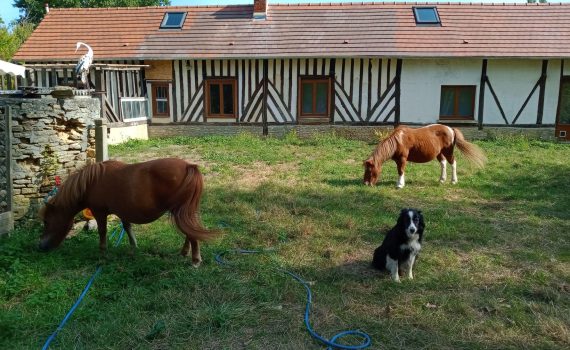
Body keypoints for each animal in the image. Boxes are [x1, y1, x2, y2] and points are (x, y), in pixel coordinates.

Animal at [37, 157, 215, 266]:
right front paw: (133, 248)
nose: (41, 246)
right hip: (185, 212)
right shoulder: (123, 211)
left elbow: (102, 231)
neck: (91, 182)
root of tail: (189, 166)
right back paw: (185, 253)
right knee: (190, 232)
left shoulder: (99, 212)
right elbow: (127, 228)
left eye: (46, 221)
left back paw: (195, 260)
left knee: (191, 234)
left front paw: (102, 252)